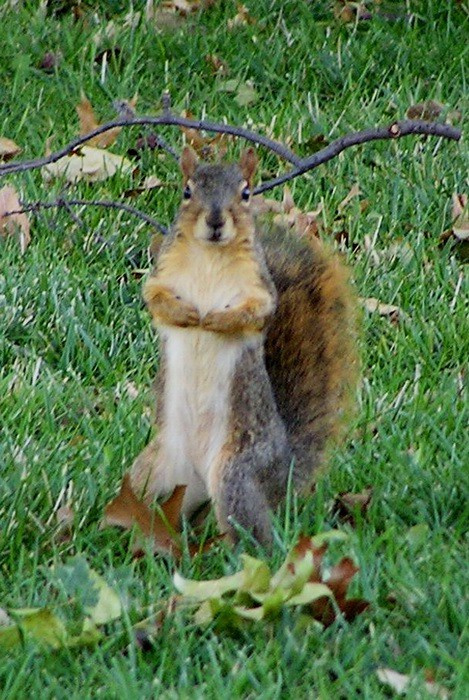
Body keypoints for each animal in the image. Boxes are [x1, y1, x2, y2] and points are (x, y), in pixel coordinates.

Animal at [129, 146, 358, 547]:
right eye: (187, 190)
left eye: (247, 193)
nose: (215, 220)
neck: (210, 256)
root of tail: (283, 472)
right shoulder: (163, 274)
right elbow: (155, 298)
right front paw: (189, 313)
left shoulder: (259, 286)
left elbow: (256, 312)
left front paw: (215, 321)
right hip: (154, 471)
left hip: (237, 472)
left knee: (254, 534)